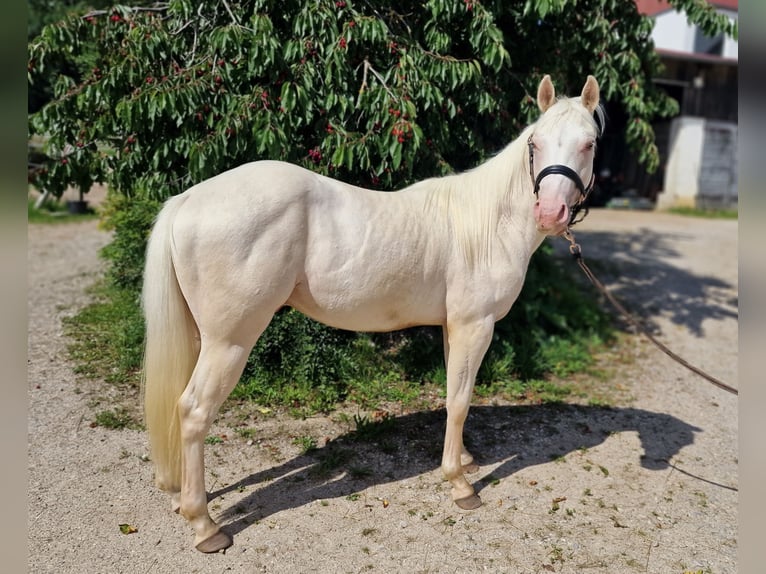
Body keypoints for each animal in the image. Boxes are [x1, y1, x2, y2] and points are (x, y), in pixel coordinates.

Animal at [142, 74, 608, 552]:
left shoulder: (453, 327)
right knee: (194, 411)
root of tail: (188, 198)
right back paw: (205, 525)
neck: (488, 224)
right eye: (536, 142)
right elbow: (460, 400)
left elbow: (454, 395)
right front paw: (460, 485)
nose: (550, 213)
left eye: (589, 143)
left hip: (202, 339)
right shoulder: (474, 326)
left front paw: (463, 459)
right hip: (229, 342)